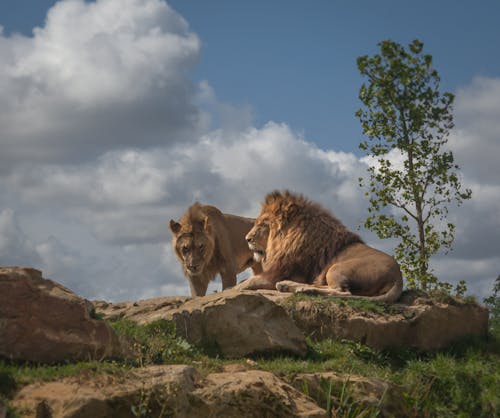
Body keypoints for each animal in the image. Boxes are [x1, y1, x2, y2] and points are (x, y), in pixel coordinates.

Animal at [236, 190, 404, 304]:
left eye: (263, 224)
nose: (247, 239)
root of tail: (399, 278)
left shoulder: (279, 272)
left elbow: (247, 283)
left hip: (337, 268)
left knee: (344, 292)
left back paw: (303, 289)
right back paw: (289, 286)